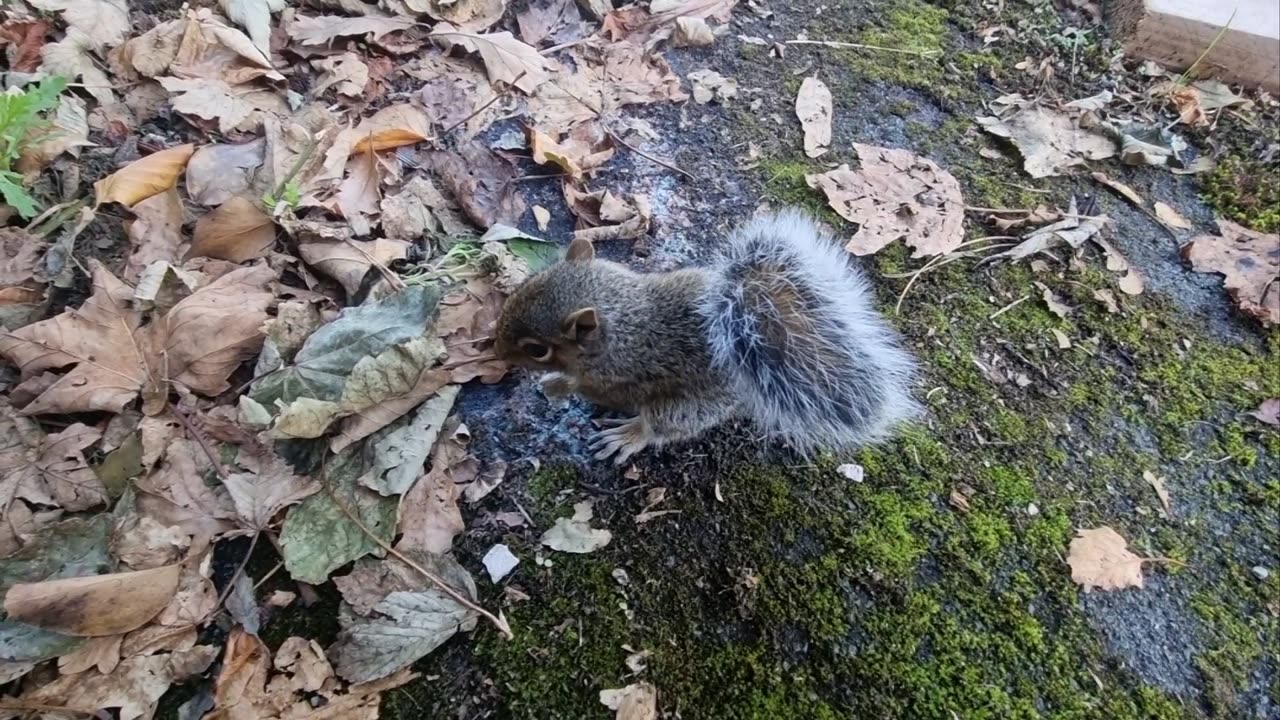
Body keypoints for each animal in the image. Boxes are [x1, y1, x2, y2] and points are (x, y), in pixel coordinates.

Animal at [488, 207, 921, 466]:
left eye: (536, 349)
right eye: (525, 286)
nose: (496, 350)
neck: (621, 317)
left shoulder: (615, 373)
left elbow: (583, 384)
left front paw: (556, 385)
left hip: (684, 406)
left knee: (663, 427)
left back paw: (629, 434)